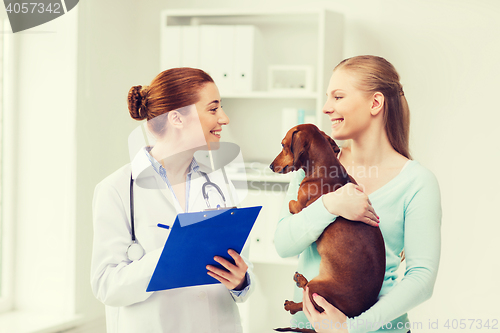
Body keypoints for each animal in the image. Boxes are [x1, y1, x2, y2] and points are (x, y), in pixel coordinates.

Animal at [272, 123, 384, 330]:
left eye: (283, 145)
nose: (269, 165)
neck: (325, 169)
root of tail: (353, 314)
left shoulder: (300, 205)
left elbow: (292, 203)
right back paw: (300, 280)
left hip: (318, 289)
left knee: (306, 303)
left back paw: (292, 304)